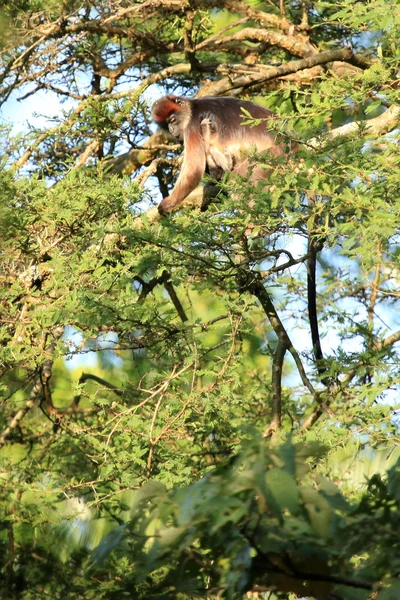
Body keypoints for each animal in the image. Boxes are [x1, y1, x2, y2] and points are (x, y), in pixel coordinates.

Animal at [151, 94, 288, 216]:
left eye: (172, 120)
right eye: (166, 126)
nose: (172, 130)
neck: (192, 109)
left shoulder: (192, 125)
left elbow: (194, 169)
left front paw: (168, 203)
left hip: (267, 159)